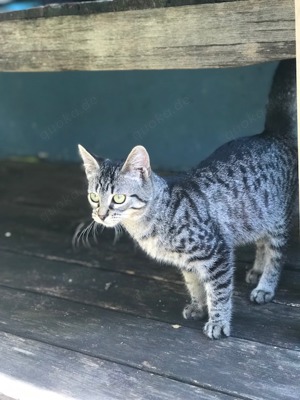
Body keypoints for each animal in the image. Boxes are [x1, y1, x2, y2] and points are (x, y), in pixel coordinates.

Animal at [78, 60, 298, 340]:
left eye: (118, 198)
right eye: (94, 196)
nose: (101, 215)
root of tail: (270, 135)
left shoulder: (217, 252)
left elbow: (219, 291)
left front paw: (218, 322)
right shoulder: (188, 262)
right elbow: (194, 284)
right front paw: (198, 306)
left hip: (279, 220)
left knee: (276, 255)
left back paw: (265, 285)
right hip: (257, 214)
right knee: (261, 242)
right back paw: (257, 271)